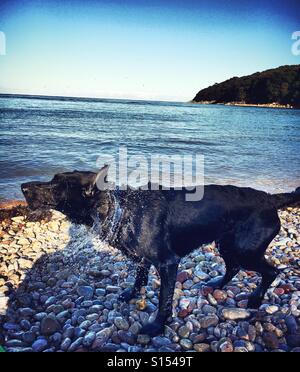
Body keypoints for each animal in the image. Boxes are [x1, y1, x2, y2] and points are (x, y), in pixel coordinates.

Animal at [21, 167, 300, 336]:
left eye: (55, 185)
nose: (23, 186)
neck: (120, 209)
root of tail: (271, 198)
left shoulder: (168, 263)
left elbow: (165, 299)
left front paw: (156, 326)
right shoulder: (142, 258)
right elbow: (139, 278)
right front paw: (131, 294)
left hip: (245, 249)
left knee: (271, 271)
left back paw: (254, 299)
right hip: (227, 244)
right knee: (233, 266)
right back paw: (217, 284)